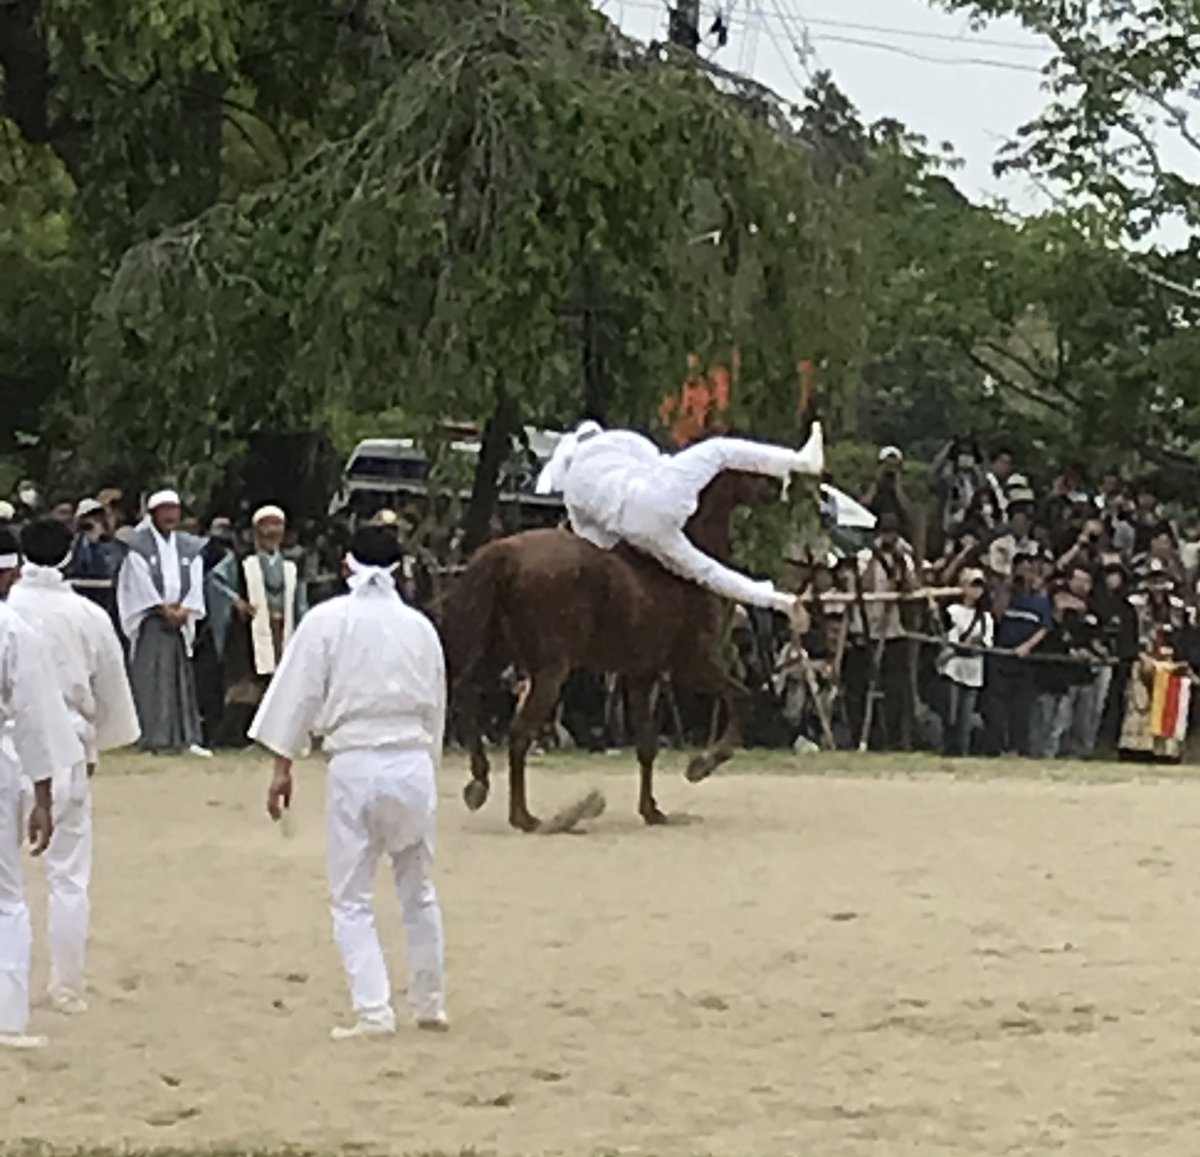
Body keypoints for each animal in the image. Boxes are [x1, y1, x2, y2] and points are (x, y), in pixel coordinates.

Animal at [436, 470, 782, 830]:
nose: (778, 487)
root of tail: (506, 552)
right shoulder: (693, 664)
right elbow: (741, 698)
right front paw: (702, 765)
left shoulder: (643, 676)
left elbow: (646, 745)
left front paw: (652, 811)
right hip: (549, 671)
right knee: (518, 733)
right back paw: (526, 818)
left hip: (500, 654)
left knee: (466, 693)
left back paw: (480, 783)